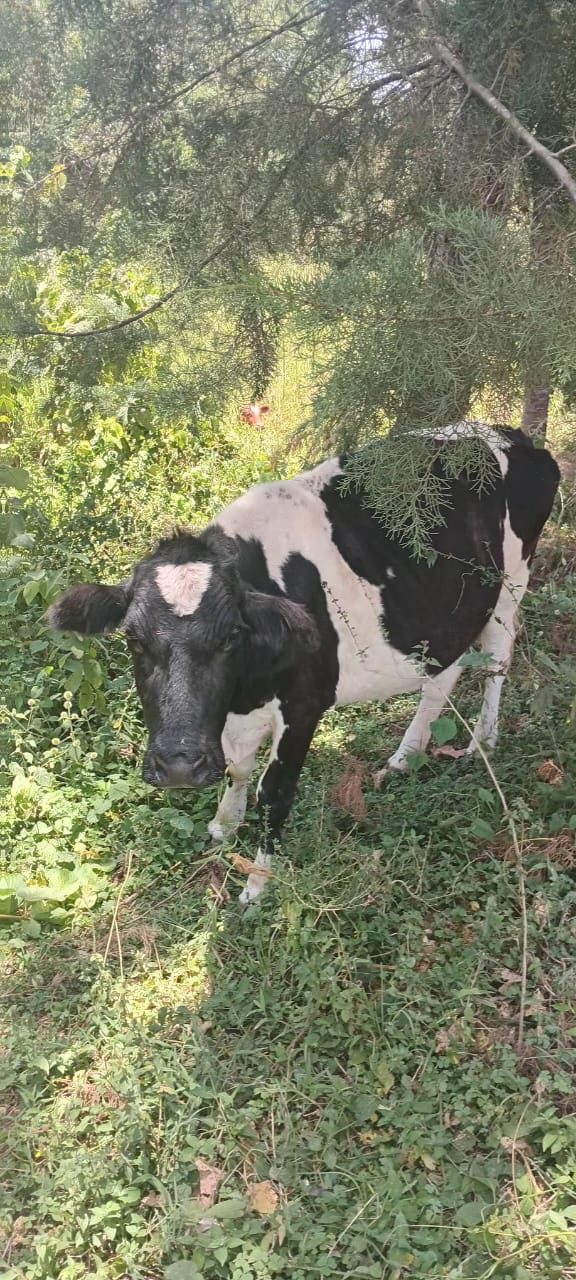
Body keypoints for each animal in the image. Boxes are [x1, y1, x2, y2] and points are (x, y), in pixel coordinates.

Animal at [48, 423, 560, 903]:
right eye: (133, 638)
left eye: (232, 635)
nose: (178, 765)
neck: (246, 691)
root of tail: (510, 434)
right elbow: (237, 769)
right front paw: (223, 826)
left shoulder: (304, 704)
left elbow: (274, 790)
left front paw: (257, 883)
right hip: (448, 615)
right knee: (442, 675)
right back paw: (403, 758)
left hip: (511, 586)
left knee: (497, 663)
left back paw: (482, 741)